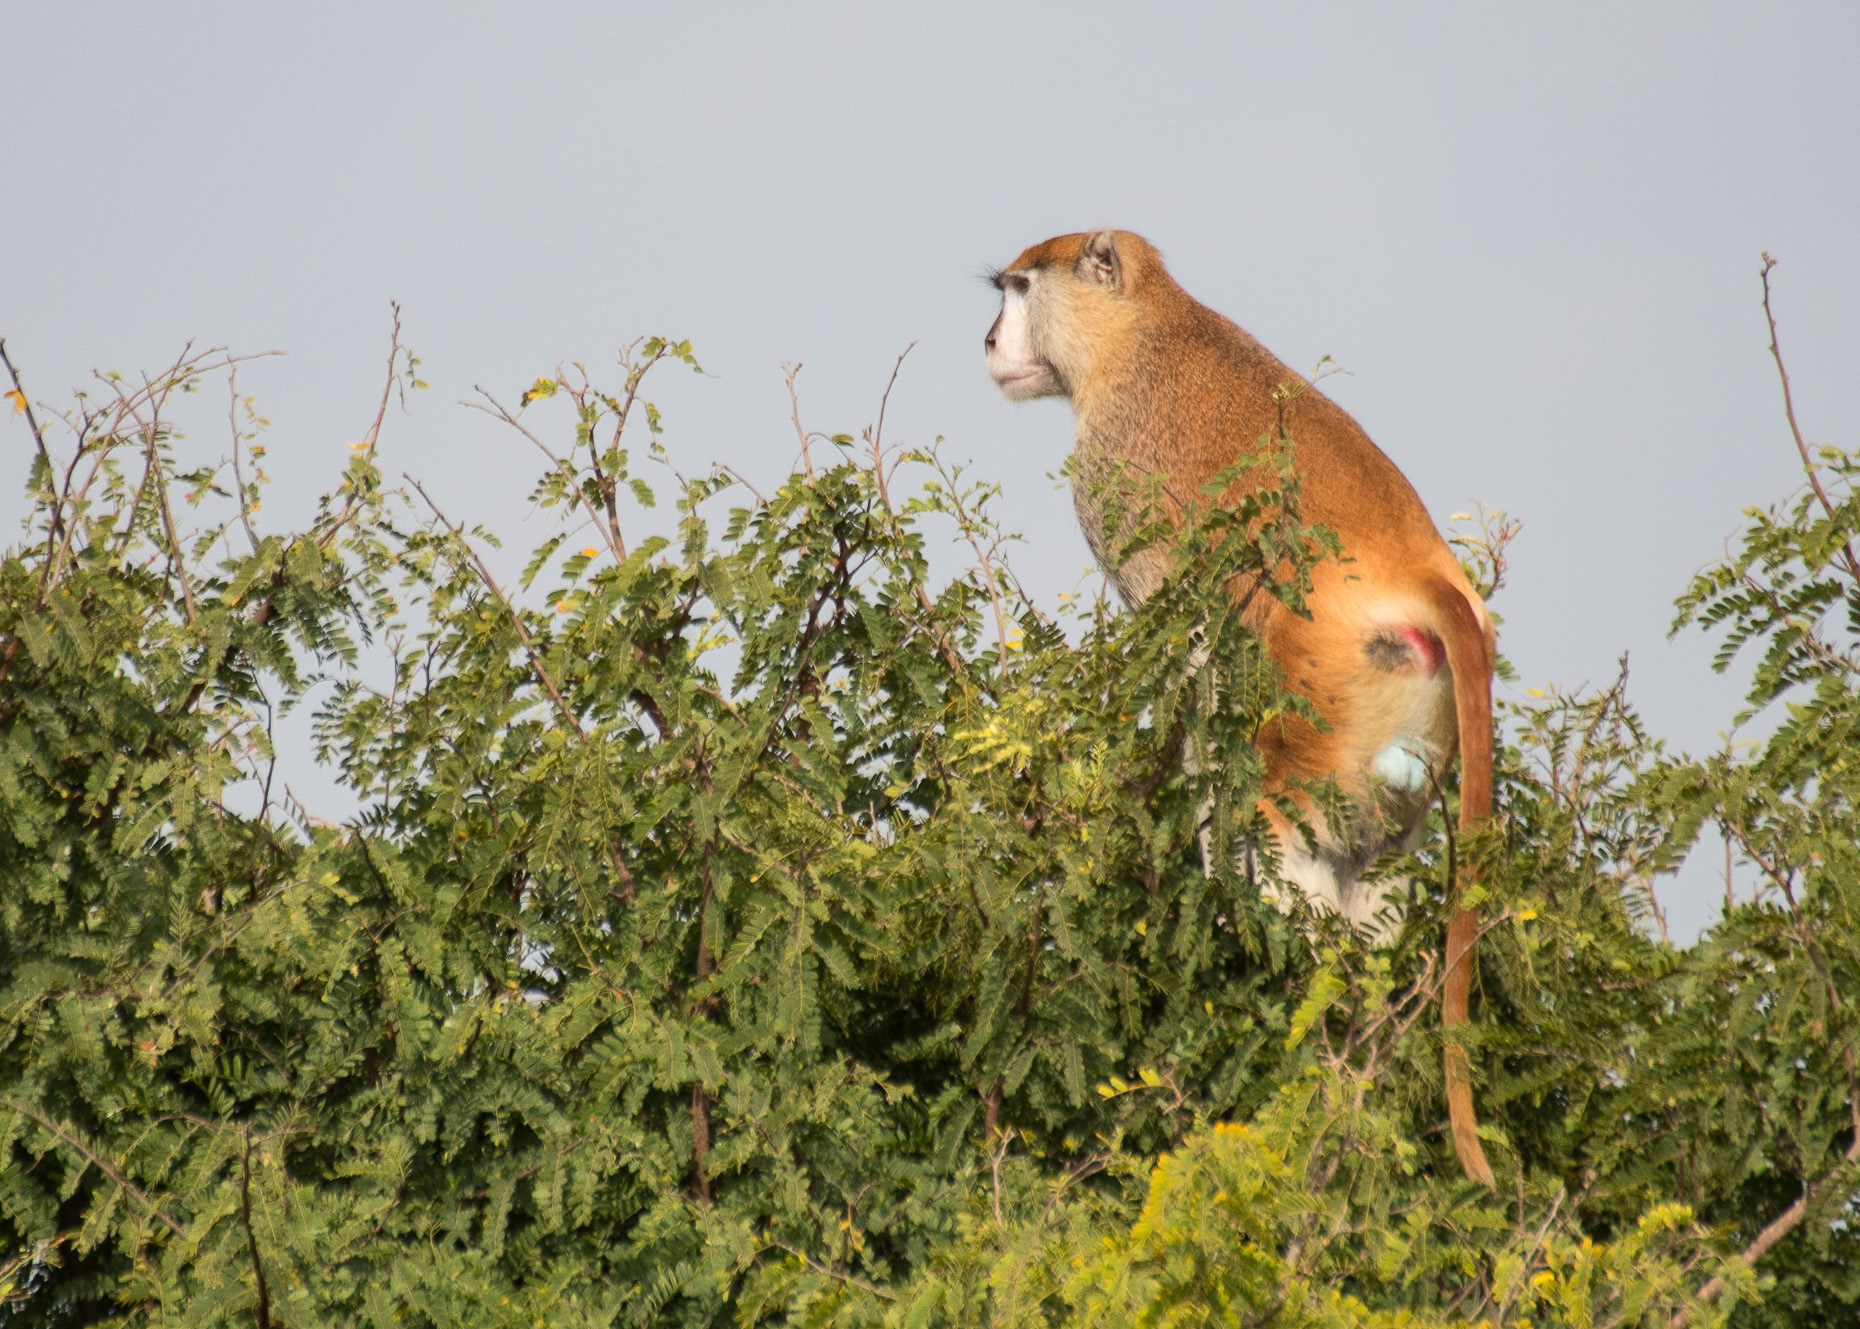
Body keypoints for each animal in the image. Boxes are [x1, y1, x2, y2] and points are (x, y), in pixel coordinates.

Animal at [984, 230, 1497, 1187]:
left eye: (1019, 289)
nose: (991, 341)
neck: (1144, 330)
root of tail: (1428, 581)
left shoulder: (1113, 464)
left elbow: (1183, 646)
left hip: (1320, 684)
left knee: (1273, 823)